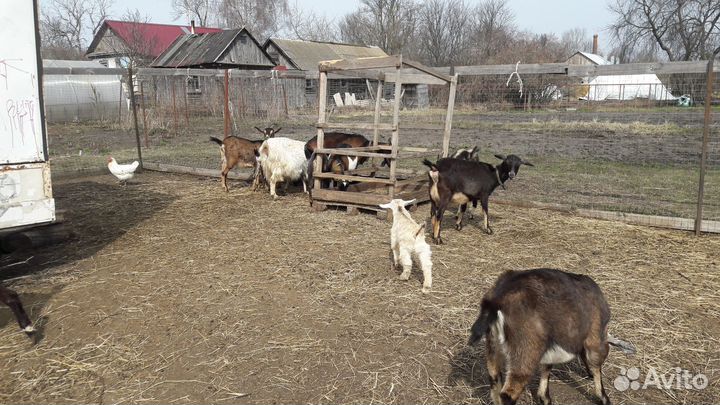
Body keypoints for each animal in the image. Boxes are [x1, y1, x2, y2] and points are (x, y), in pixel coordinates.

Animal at [468, 268, 636, 405]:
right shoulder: (595, 338)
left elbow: (547, 367)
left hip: (493, 347)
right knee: (507, 394)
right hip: (525, 350)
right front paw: (604, 398)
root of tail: (496, 301)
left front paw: (544, 398)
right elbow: (596, 366)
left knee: (495, 383)